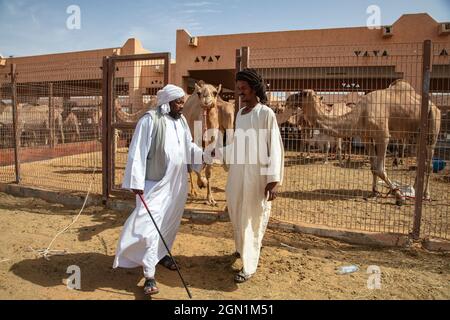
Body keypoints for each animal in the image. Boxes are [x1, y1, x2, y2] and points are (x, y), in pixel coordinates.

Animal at [298, 80, 440, 205]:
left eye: (303, 93)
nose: (293, 96)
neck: (360, 113)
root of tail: (435, 106)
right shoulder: (366, 137)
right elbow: (373, 168)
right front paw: (374, 192)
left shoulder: (383, 136)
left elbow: (380, 169)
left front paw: (399, 196)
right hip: (416, 135)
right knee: (421, 161)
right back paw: (414, 189)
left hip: (433, 123)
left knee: (429, 163)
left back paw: (426, 195)